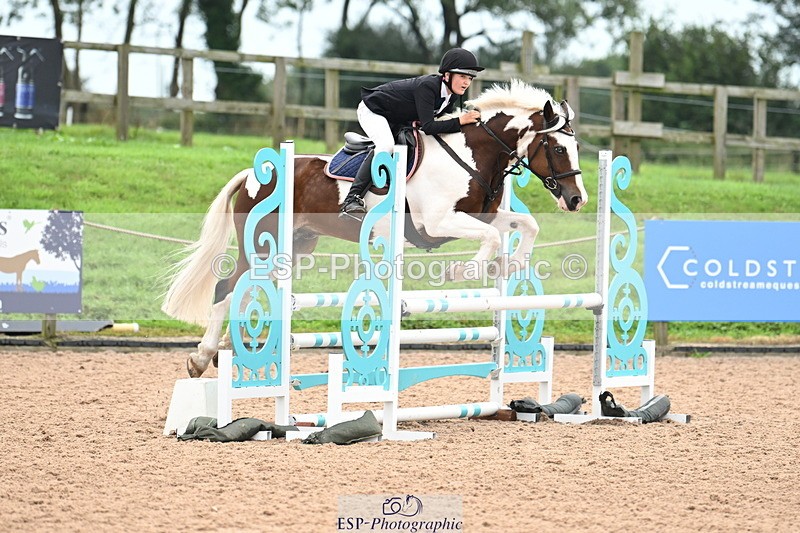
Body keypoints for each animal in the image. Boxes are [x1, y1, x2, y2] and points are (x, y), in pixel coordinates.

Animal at [162, 80, 587, 378]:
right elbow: (493, 237)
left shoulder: (479, 216)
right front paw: (460, 271)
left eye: (576, 148)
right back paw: (202, 358)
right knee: (225, 288)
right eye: (558, 149)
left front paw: (511, 265)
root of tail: (256, 172)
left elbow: (525, 225)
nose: (576, 200)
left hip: (294, 246)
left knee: (247, 293)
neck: (473, 155)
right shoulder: (438, 223)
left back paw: (229, 351)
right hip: (261, 244)